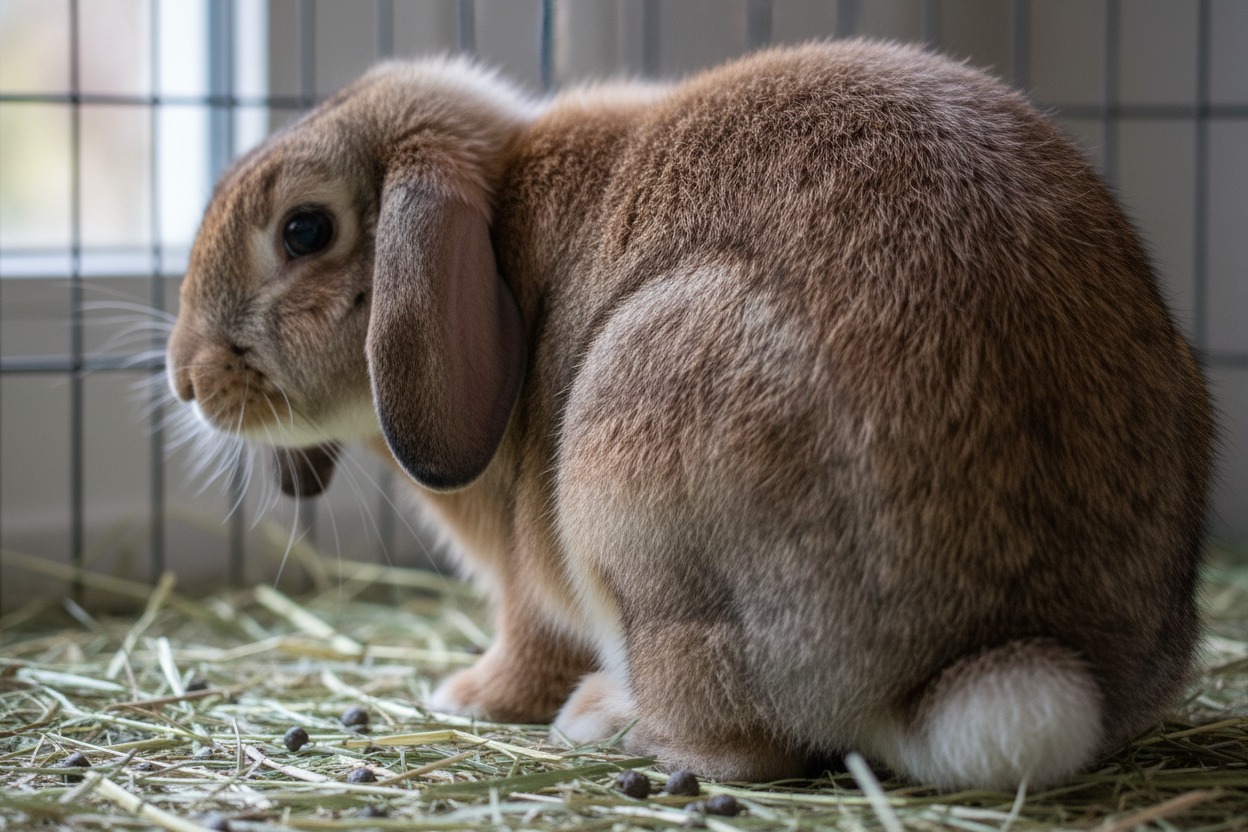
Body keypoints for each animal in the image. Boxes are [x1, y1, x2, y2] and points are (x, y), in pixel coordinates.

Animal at [166, 39, 1214, 791]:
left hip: (629, 479)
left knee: (741, 745)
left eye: (305, 230)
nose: (187, 380)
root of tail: (997, 654)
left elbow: (527, 638)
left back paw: (608, 721)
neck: (499, 248)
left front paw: (470, 697)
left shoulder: (529, 581)